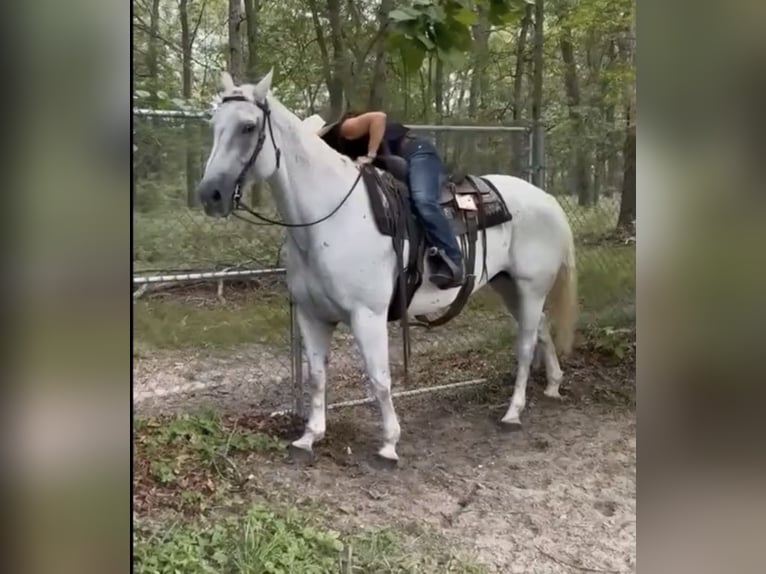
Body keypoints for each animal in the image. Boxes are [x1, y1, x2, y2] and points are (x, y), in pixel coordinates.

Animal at [196, 70, 578, 466]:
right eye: (214, 125)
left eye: (248, 126)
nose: (210, 194)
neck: (331, 218)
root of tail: (547, 199)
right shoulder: (312, 315)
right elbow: (317, 376)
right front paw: (309, 436)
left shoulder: (368, 315)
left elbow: (379, 378)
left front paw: (389, 444)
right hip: (508, 285)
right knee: (542, 330)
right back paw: (552, 385)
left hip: (531, 287)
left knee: (526, 343)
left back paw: (513, 412)